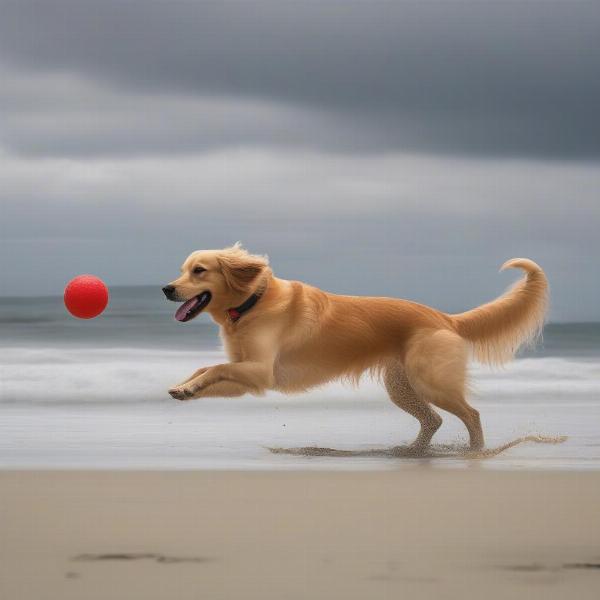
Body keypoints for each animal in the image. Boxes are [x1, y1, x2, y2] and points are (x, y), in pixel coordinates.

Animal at [164, 244, 548, 450]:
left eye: (199, 270)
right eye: (183, 270)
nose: (166, 289)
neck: (252, 302)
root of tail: (444, 317)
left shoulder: (261, 372)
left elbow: (215, 367)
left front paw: (188, 386)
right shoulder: (249, 378)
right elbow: (206, 368)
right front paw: (186, 388)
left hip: (431, 383)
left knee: (471, 415)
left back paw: (476, 453)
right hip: (402, 386)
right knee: (434, 419)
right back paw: (413, 452)